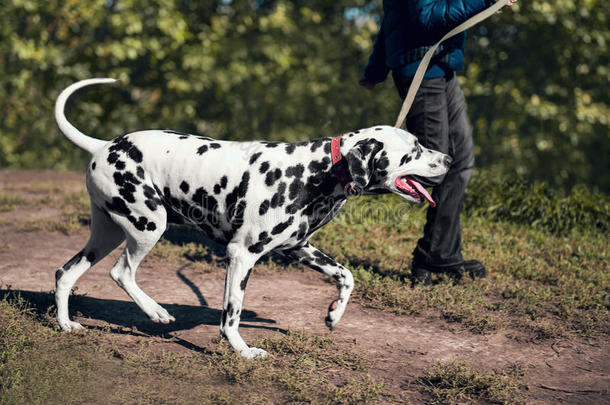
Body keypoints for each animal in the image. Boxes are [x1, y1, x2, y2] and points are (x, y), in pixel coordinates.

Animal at [53, 77, 452, 358]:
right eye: (416, 148)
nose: (449, 159)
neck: (317, 170)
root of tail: (105, 145)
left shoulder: (299, 248)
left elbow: (347, 275)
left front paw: (335, 314)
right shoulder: (241, 255)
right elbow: (232, 314)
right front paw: (242, 351)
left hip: (107, 235)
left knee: (64, 274)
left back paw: (67, 324)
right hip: (148, 227)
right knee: (121, 272)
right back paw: (155, 312)